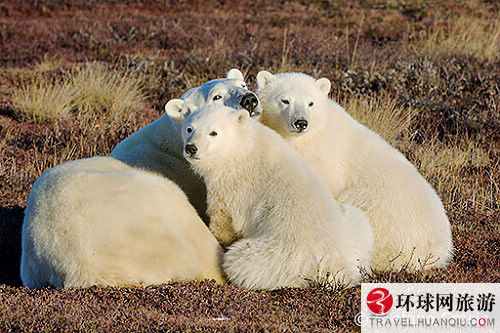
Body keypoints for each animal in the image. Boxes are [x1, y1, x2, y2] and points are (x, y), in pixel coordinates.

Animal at [182, 103, 374, 288]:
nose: (191, 148)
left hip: (282, 257)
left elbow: (223, 218)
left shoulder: (232, 183)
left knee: (240, 262)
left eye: (213, 132)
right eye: (190, 128)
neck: (244, 146)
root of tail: (338, 261)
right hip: (356, 227)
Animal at [256, 70, 456, 270]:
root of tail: (441, 250)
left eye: (310, 103)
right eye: (285, 100)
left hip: (382, 213)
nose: (301, 123)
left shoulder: (326, 157)